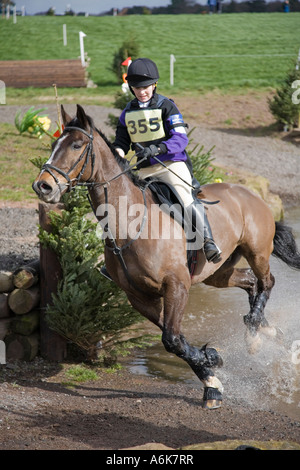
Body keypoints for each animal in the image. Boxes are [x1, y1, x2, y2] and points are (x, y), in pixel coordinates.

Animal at [32, 106, 300, 408]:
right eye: (54, 145)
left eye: (77, 145)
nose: (42, 186)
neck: (130, 223)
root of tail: (249, 193)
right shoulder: (140, 297)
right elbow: (177, 340)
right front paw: (211, 374)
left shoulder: (177, 285)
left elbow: (171, 338)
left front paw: (212, 364)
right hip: (217, 272)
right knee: (251, 282)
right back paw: (262, 332)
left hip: (256, 252)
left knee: (267, 281)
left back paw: (256, 332)